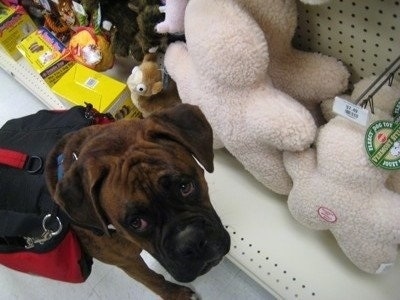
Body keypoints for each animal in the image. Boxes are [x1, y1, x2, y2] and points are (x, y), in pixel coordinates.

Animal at [45, 104, 230, 298]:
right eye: (137, 223)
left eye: (185, 187)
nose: (192, 242)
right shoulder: (128, 262)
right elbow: (152, 280)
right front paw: (176, 294)